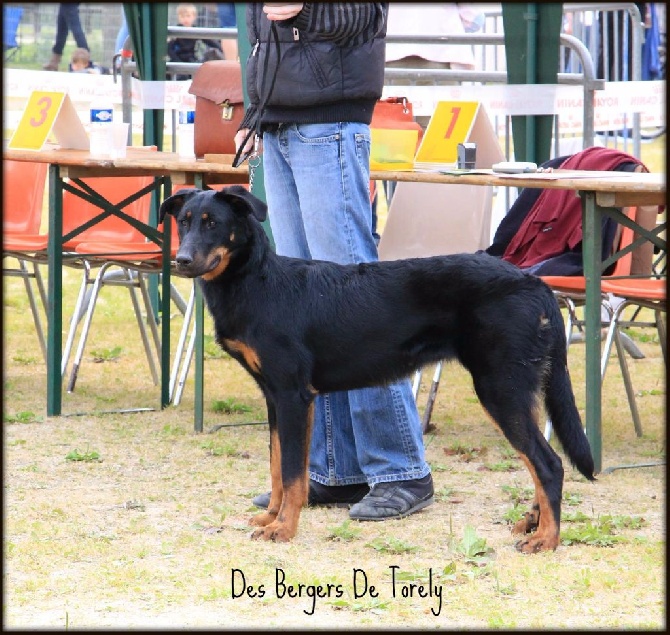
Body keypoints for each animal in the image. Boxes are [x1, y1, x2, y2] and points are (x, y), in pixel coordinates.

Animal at [160, 184, 596, 552]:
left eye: (213, 223)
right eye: (183, 222)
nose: (181, 260)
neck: (257, 281)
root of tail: (535, 284)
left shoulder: (292, 396)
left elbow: (293, 474)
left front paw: (283, 528)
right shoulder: (275, 399)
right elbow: (278, 467)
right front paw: (271, 517)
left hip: (499, 389)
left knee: (549, 464)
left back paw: (547, 539)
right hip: (515, 390)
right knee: (537, 464)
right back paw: (533, 521)